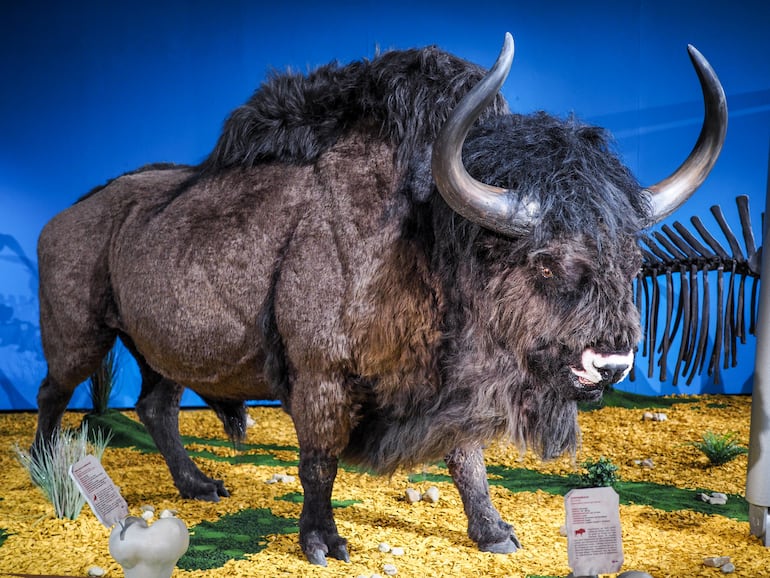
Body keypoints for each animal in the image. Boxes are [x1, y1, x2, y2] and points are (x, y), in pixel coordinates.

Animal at [34, 33, 726, 565]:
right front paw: (323, 543)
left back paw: (202, 486)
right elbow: (319, 461)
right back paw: (45, 469)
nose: (611, 364)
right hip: (81, 336)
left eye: (632, 258)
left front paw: (496, 534)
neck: (424, 234)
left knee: (156, 406)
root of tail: (62, 221)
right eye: (545, 260)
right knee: (54, 392)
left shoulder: (450, 392)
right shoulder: (320, 380)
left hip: (162, 351)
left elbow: (467, 459)